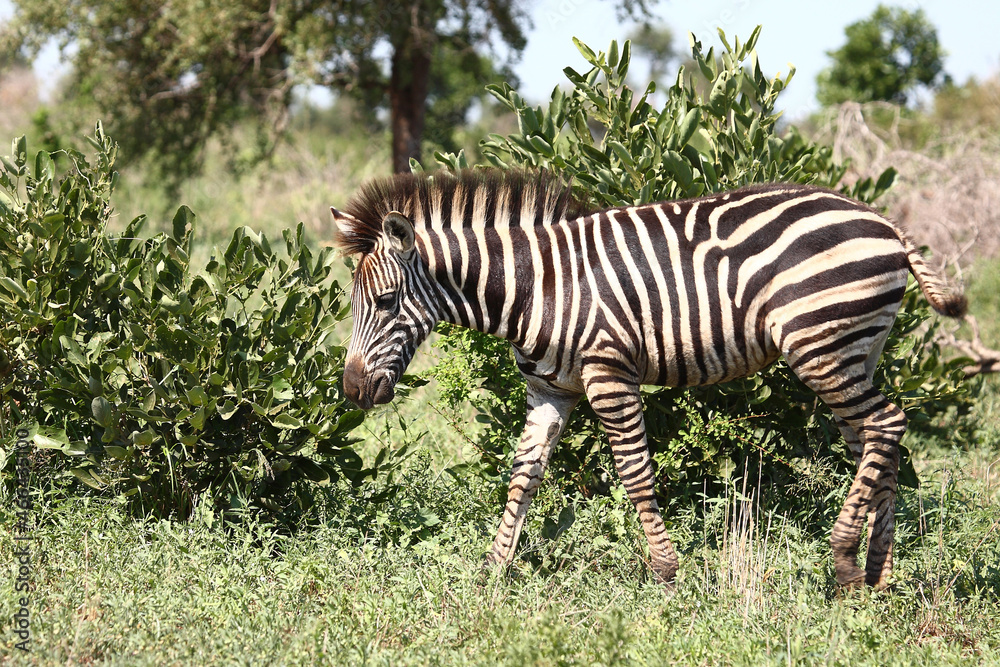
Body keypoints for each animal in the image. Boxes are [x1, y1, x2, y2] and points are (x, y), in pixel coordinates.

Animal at [331, 168, 965, 589]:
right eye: (354, 304)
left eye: (385, 302)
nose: (354, 392)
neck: (537, 287)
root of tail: (884, 222)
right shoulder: (549, 390)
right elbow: (523, 477)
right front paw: (493, 569)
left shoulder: (608, 372)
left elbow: (634, 473)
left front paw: (664, 570)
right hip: (854, 348)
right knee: (874, 440)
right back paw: (877, 572)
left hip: (821, 345)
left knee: (888, 423)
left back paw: (843, 559)